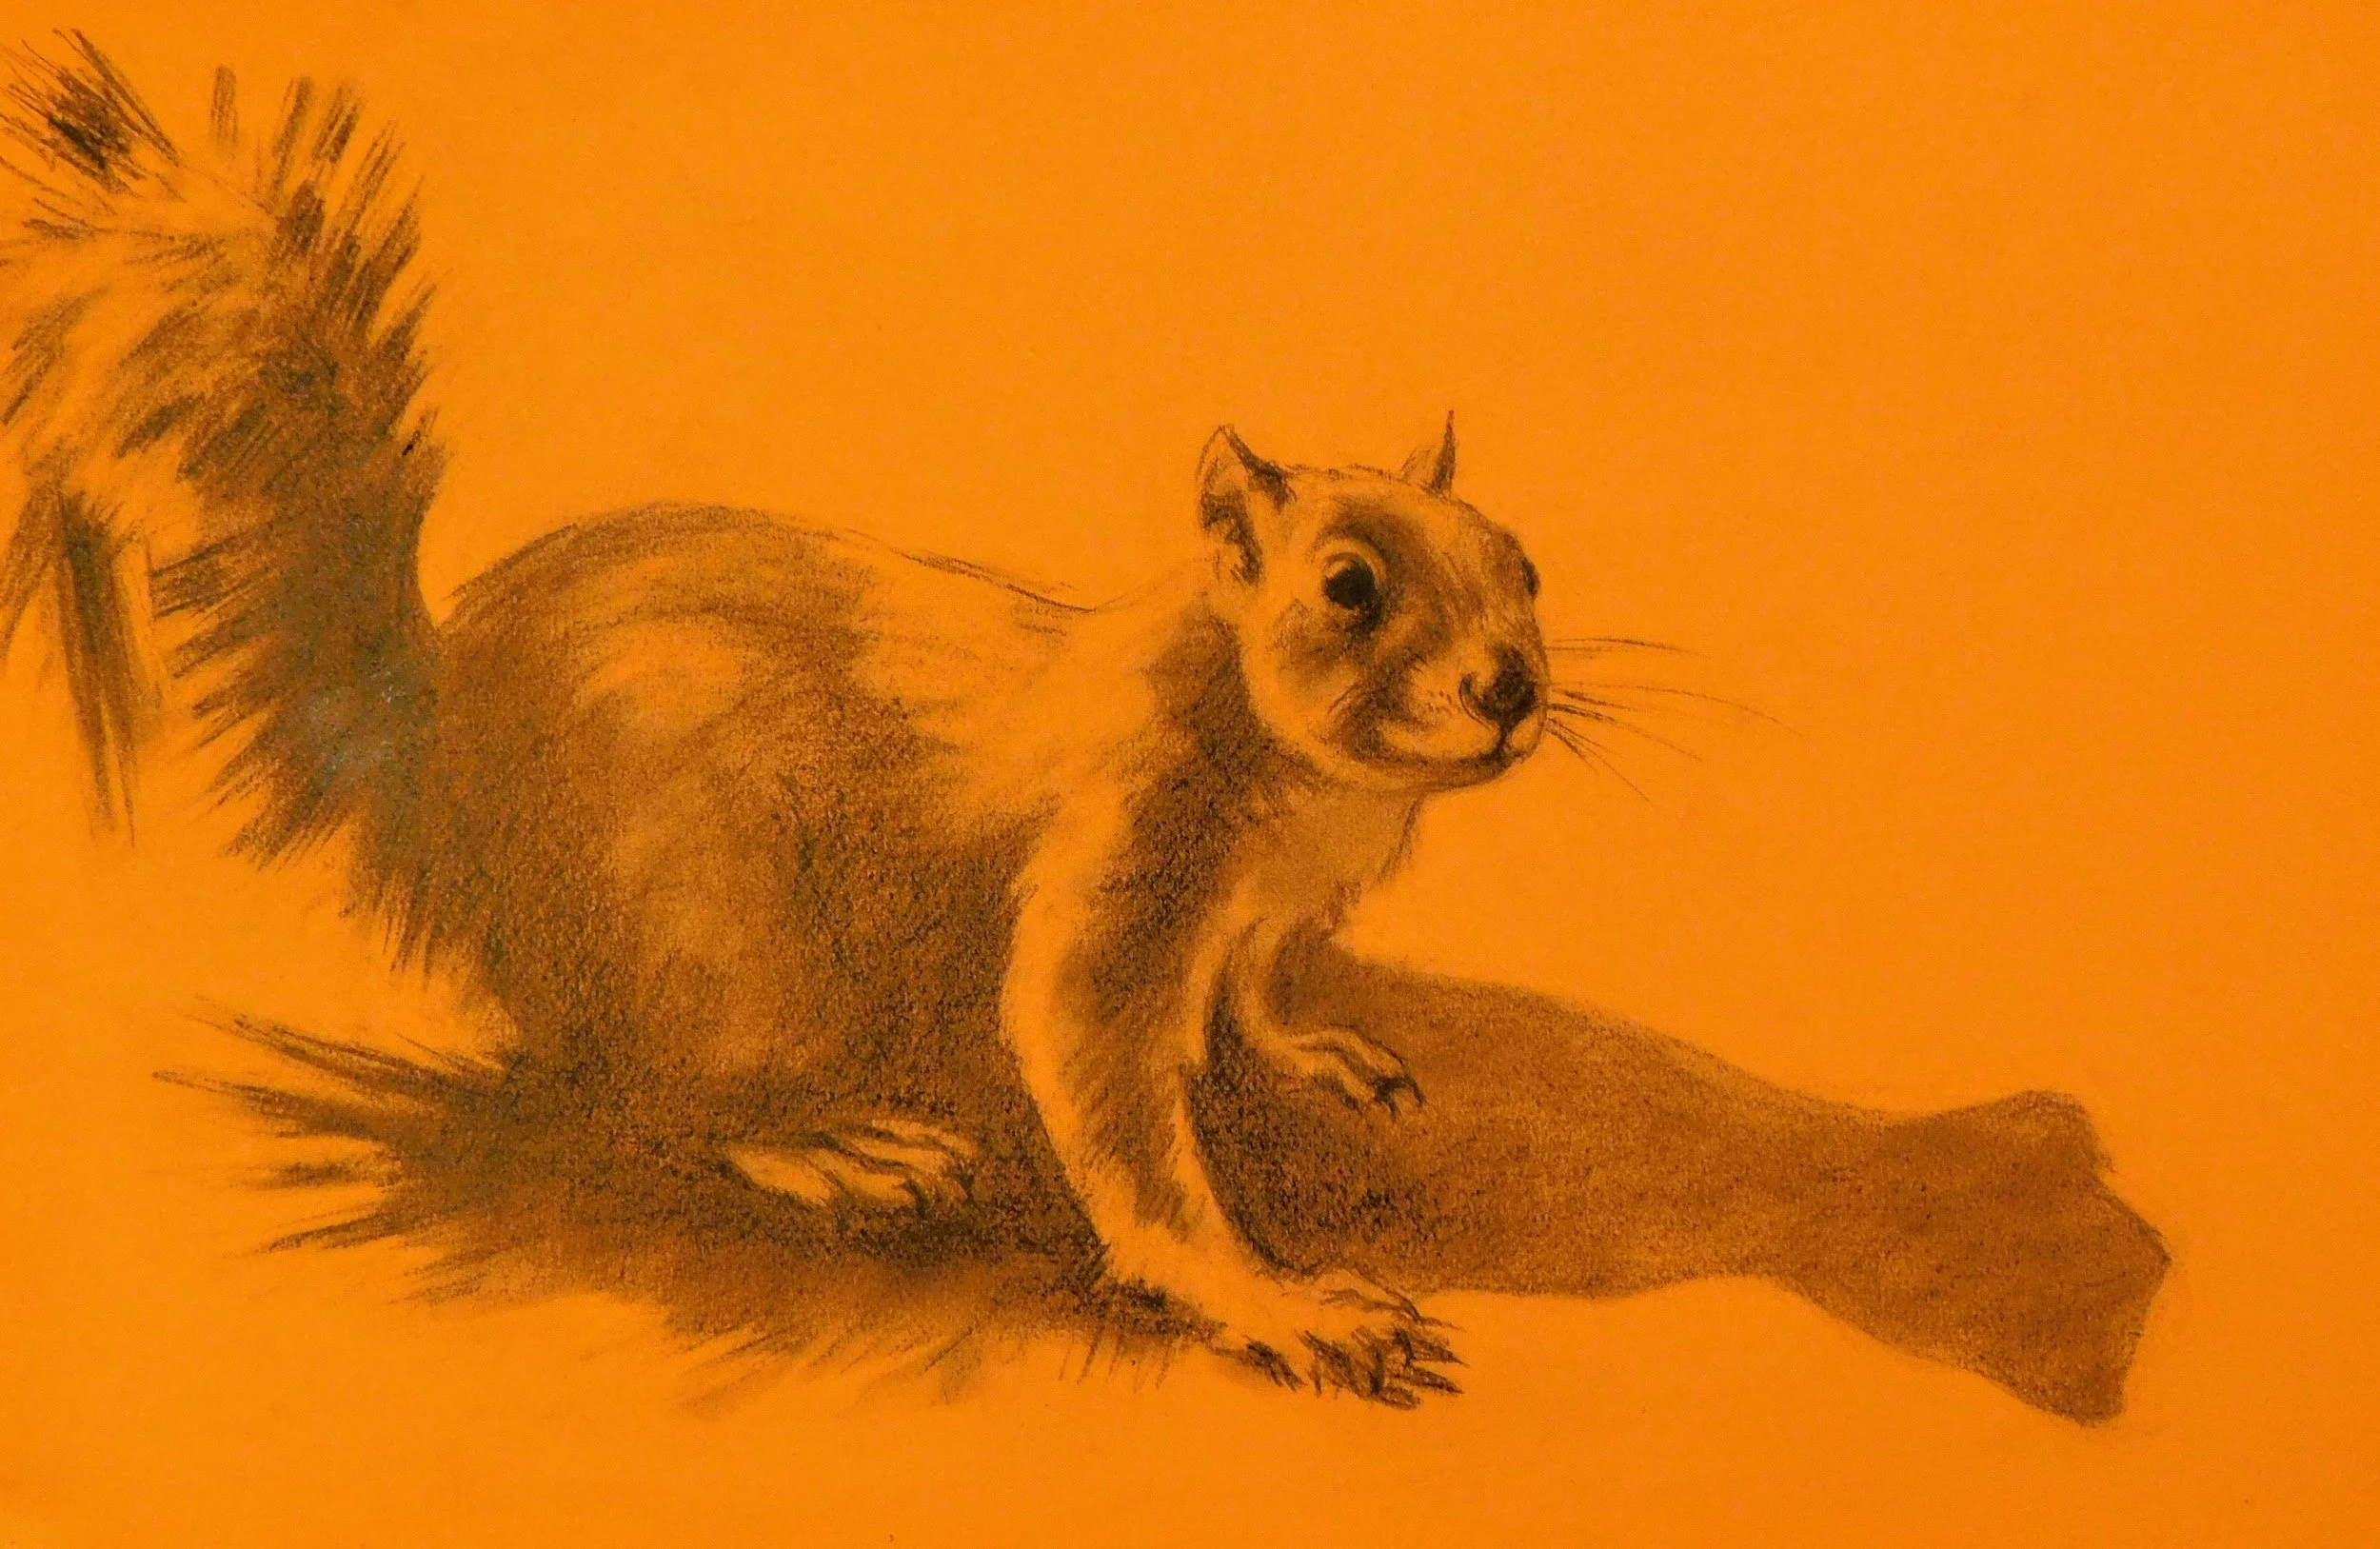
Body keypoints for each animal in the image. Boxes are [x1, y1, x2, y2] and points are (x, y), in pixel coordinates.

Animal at [0, 37, 1549, 1399]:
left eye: (1523, 563)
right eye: (1347, 585)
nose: (1512, 688)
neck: (1308, 784)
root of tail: (436, 745)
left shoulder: (1277, 903)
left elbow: (1260, 983)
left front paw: (1315, 1049)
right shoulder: (1126, 847)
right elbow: (1098, 1068)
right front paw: (1276, 1300)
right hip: (717, 931)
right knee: (658, 1099)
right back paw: (830, 1146)